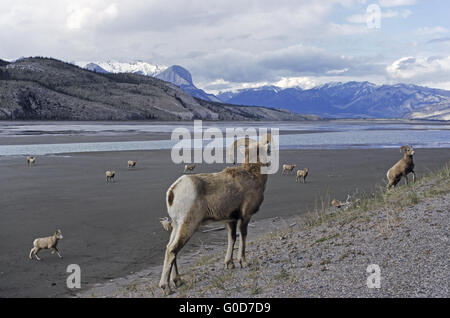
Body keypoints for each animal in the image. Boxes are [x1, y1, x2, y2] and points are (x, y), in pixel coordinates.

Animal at [160, 133, 272, 294]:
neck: (253, 176)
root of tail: (173, 191)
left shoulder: (230, 220)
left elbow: (232, 239)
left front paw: (229, 264)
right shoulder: (245, 217)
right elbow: (243, 237)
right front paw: (243, 262)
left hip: (177, 225)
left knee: (170, 247)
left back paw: (178, 281)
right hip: (189, 224)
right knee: (172, 250)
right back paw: (166, 287)